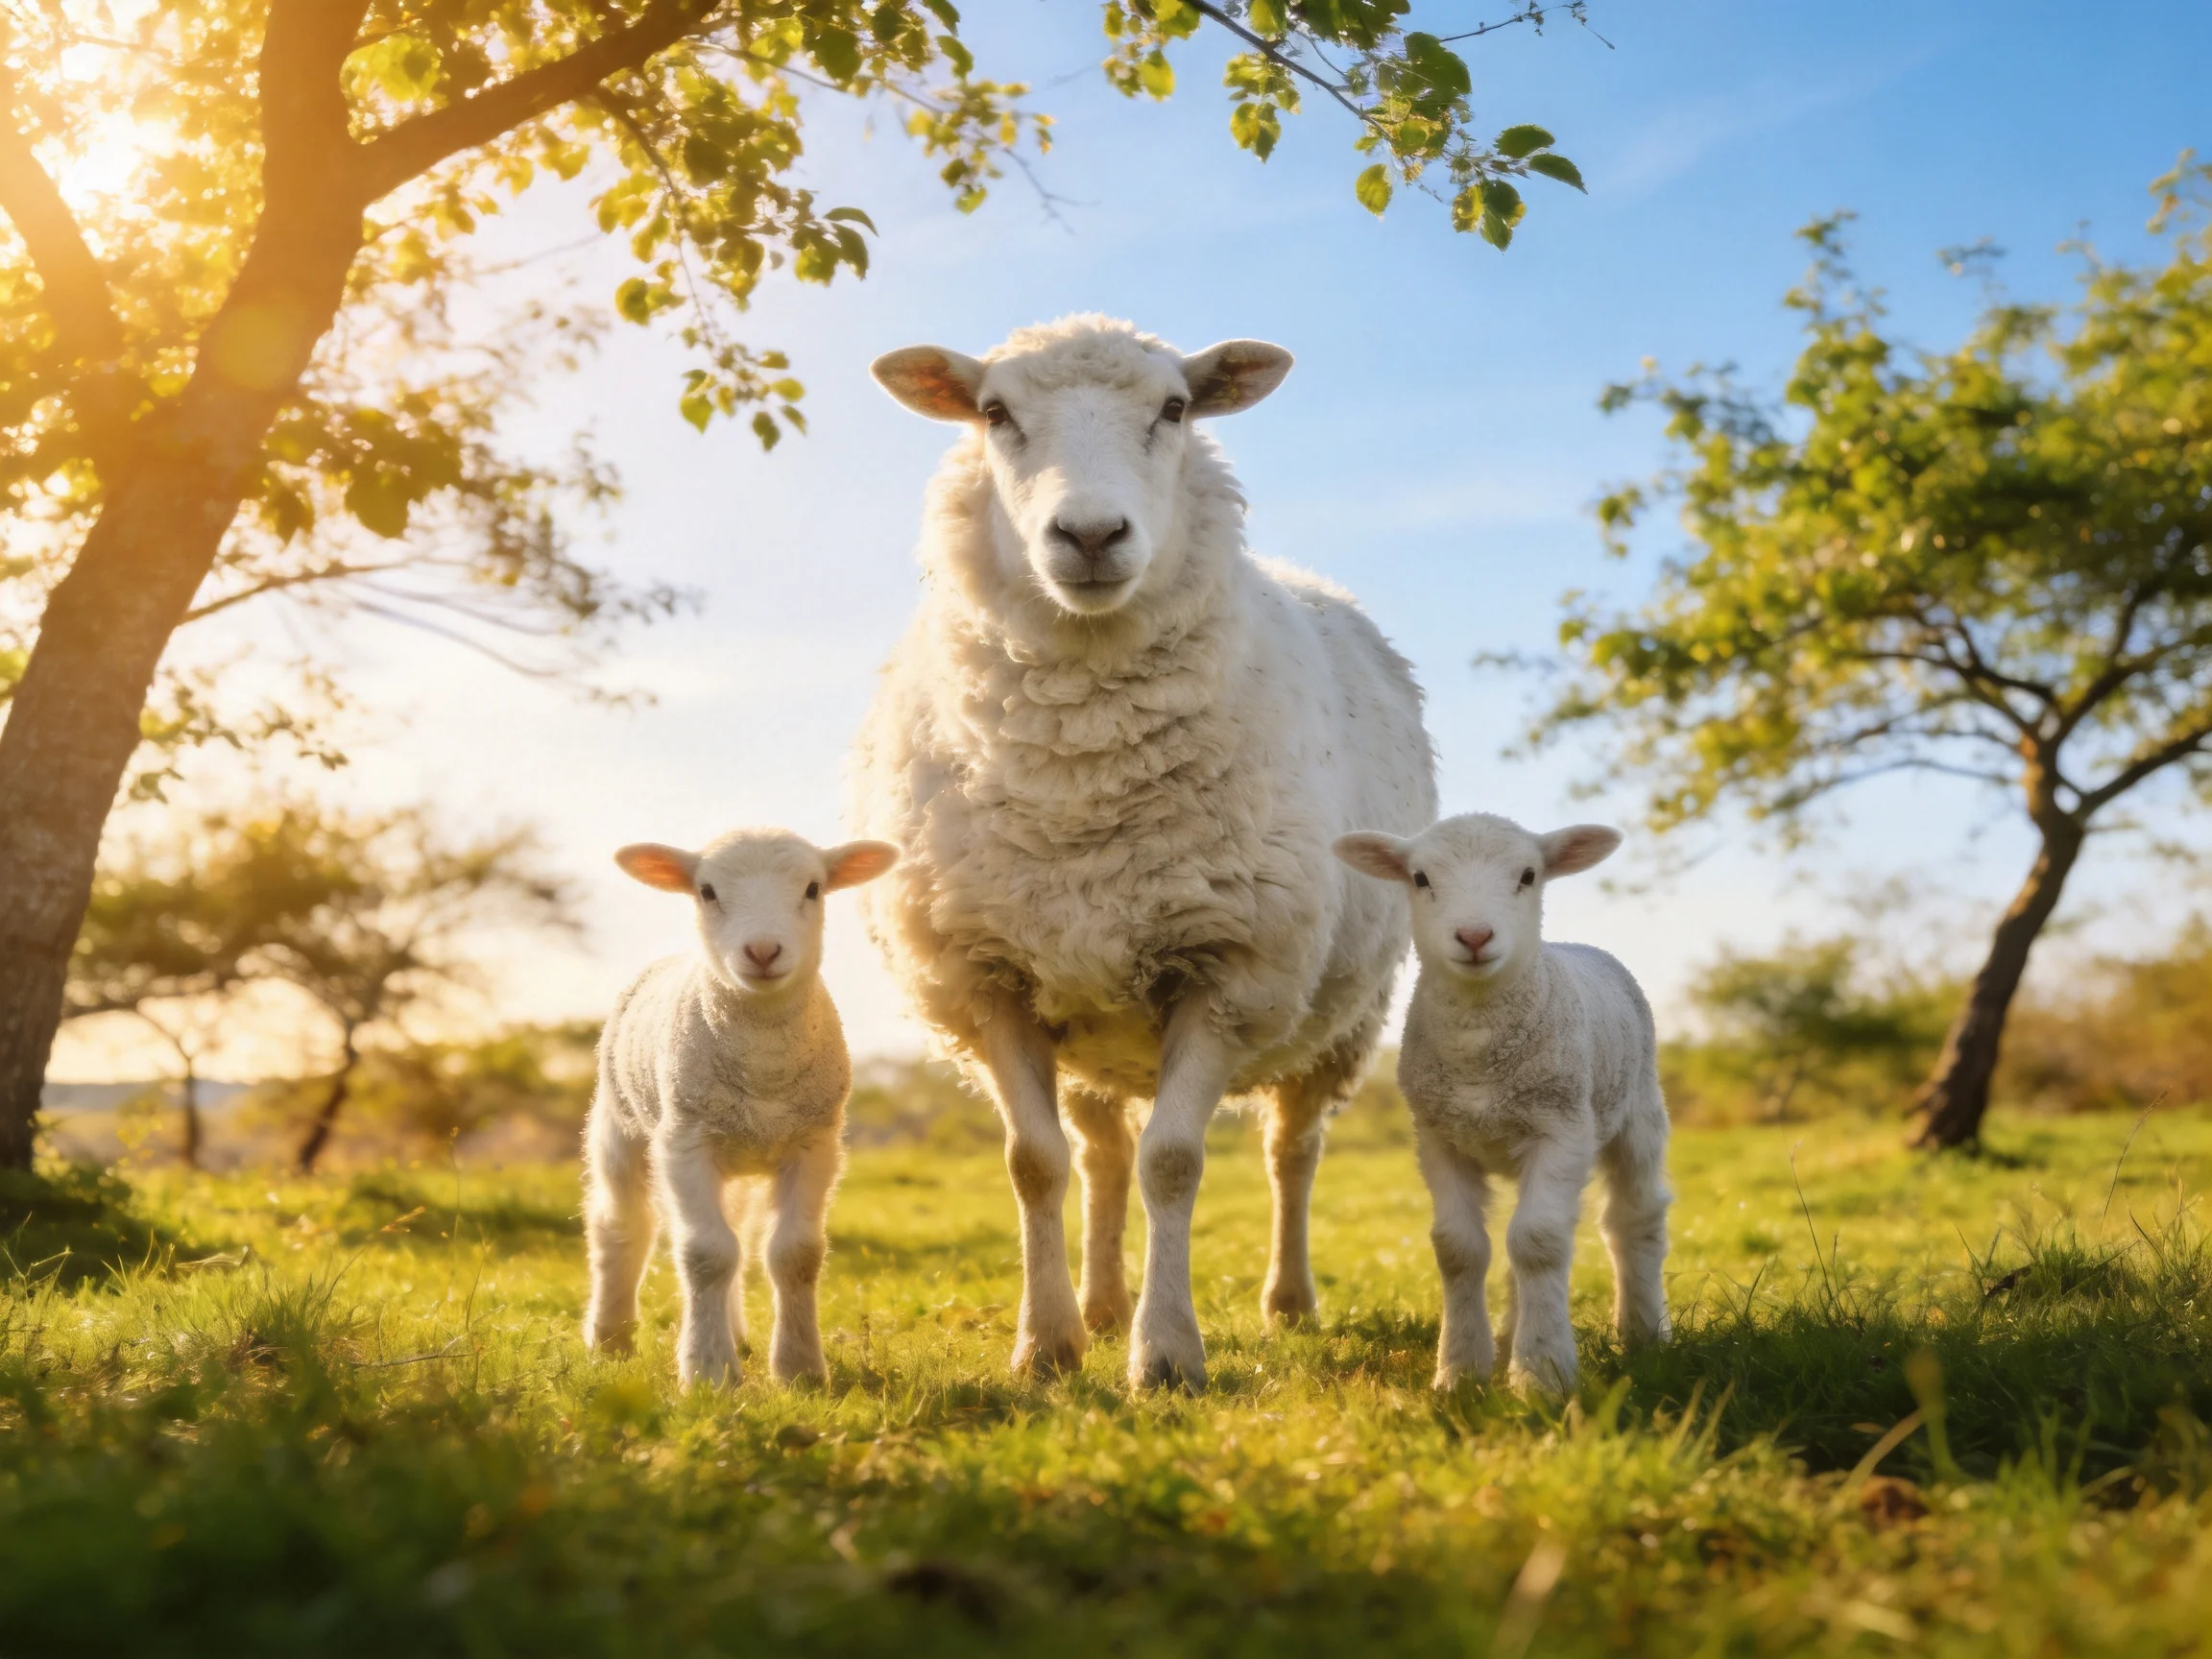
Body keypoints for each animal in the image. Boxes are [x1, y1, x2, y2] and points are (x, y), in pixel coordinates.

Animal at [580, 828, 899, 1388]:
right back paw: (610, 1337)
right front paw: (709, 1373)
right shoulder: (685, 1141)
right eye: (706, 891)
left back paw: (734, 1331)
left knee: (731, 1232)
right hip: (621, 1121)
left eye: (814, 888)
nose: (763, 950)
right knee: (621, 1224)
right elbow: (705, 1254)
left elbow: (795, 1253)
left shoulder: (814, 1143)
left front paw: (799, 1369)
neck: (764, 1069)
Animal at [849, 315, 1437, 1390]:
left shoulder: (1228, 969)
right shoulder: (989, 977)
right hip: (1085, 1019)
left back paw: (1288, 1302)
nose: (1088, 537)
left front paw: (1164, 1354)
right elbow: (1034, 1164)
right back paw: (1099, 1302)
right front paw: (1046, 1345)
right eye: (993, 413)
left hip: (1342, 1015)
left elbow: (1176, 1161)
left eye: (1175, 408)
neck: (1082, 777)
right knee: (1100, 1158)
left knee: (1293, 1150)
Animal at [1334, 813, 1671, 1395]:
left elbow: (1539, 1242)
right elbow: (1459, 1248)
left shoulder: (1561, 1129)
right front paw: (1460, 1372)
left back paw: (1644, 1333)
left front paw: (1542, 1374)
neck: (1478, 1055)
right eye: (1420, 878)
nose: (1474, 936)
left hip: (1637, 1113)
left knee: (1634, 1218)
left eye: (1528, 875)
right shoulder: (1438, 1136)